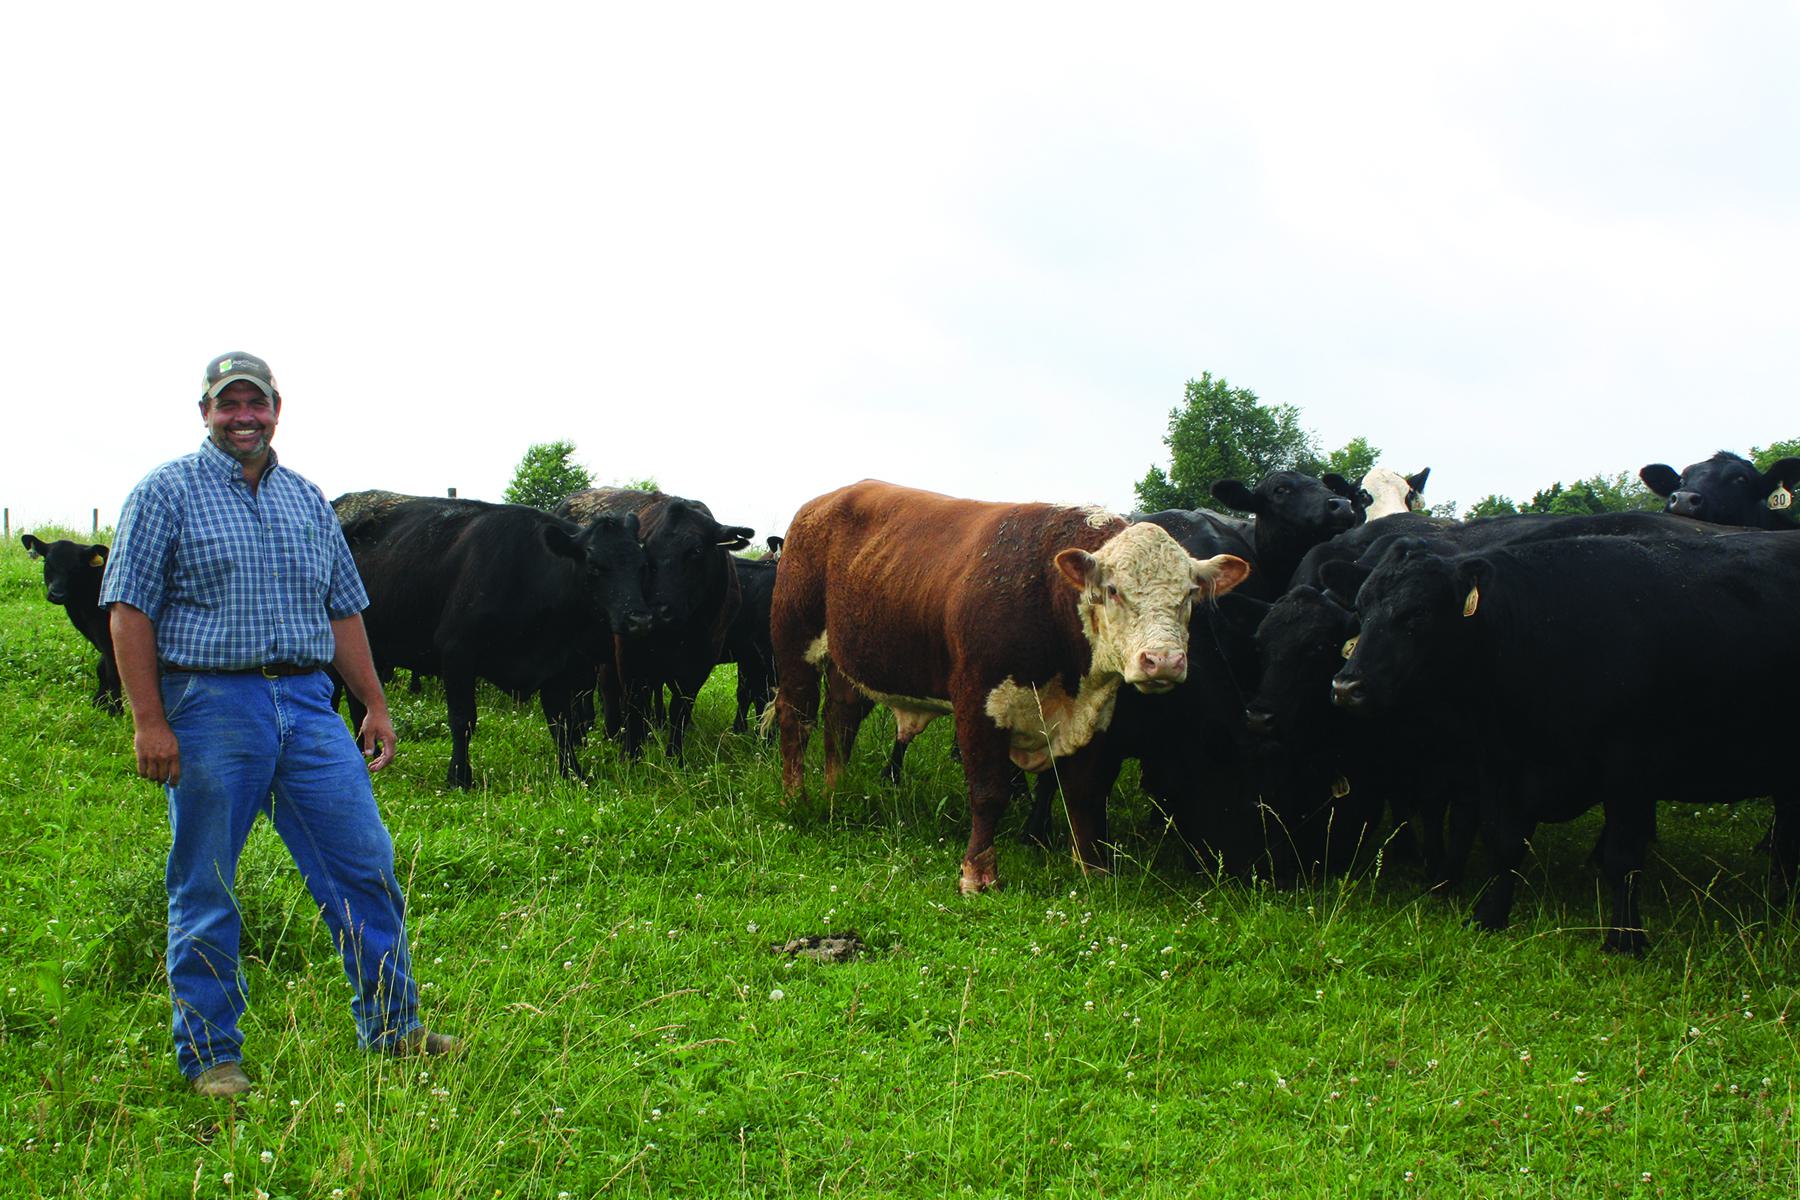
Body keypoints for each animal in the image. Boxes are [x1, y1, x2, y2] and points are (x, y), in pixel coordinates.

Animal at [21, 534, 120, 712]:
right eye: (47, 563)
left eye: (76, 568)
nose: (57, 594)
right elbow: (101, 668)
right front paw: (98, 702)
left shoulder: (107, 634)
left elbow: (112, 670)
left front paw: (115, 710)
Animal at [340, 496, 653, 787]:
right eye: (594, 566)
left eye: (641, 565)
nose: (639, 620)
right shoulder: (457, 652)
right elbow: (462, 719)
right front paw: (459, 777)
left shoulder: (556, 663)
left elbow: (561, 723)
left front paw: (573, 774)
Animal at [556, 488, 754, 761]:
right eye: (645, 551)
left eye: (696, 550)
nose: (658, 612)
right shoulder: (630, 653)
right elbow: (634, 704)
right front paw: (630, 756)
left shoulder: (703, 658)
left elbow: (680, 710)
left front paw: (675, 757)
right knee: (589, 689)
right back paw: (589, 733)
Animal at [771, 480, 1250, 894]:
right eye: (1113, 590)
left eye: (1189, 594)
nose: (1163, 660)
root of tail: (822, 503)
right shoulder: (979, 702)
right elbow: (989, 792)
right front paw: (978, 873)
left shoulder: (1094, 714)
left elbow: (1084, 792)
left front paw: (1092, 869)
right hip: (795, 643)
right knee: (797, 720)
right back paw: (796, 799)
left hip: (847, 662)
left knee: (840, 721)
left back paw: (836, 790)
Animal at [1328, 531, 1800, 951]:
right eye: (1361, 608)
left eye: (1418, 614)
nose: (1347, 686)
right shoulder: (1501, 762)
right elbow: (1505, 843)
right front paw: (1489, 917)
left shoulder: (1630, 765)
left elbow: (1623, 857)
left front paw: (1625, 940)